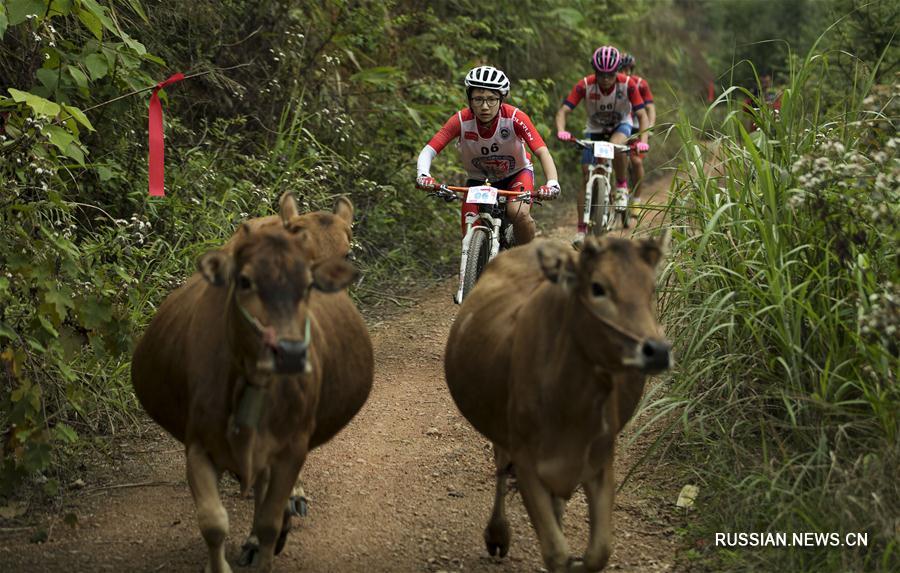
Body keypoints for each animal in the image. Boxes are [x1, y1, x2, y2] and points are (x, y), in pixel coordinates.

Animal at [130, 211, 372, 572]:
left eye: (347, 252)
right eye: (244, 282)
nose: (290, 352)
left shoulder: (291, 446)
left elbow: (269, 519)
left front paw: (267, 537)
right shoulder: (198, 445)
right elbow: (213, 522)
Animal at [446, 233, 672, 572]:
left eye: (651, 288)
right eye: (597, 287)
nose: (657, 351)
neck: (569, 403)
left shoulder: (601, 460)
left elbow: (597, 553)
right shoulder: (526, 460)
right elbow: (556, 553)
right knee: (500, 470)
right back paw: (497, 534)